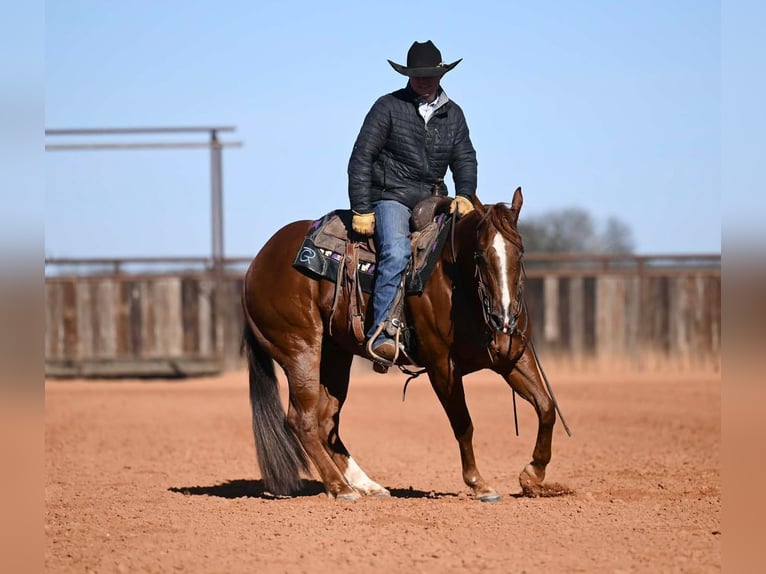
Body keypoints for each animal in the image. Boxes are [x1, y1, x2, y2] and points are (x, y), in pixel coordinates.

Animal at [241, 187, 558, 501]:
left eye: (520, 252)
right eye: (479, 255)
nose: (504, 316)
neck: (457, 283)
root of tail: (256, 265)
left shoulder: (513, 357)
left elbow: (546, 407)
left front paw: (533, 475)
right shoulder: (442, 366)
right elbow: (463, 423)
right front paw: (479, 484)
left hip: (335, 355)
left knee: (326, 421)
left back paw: (367, 485)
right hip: (301, 350)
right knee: (301, 420)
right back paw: (341, 488)